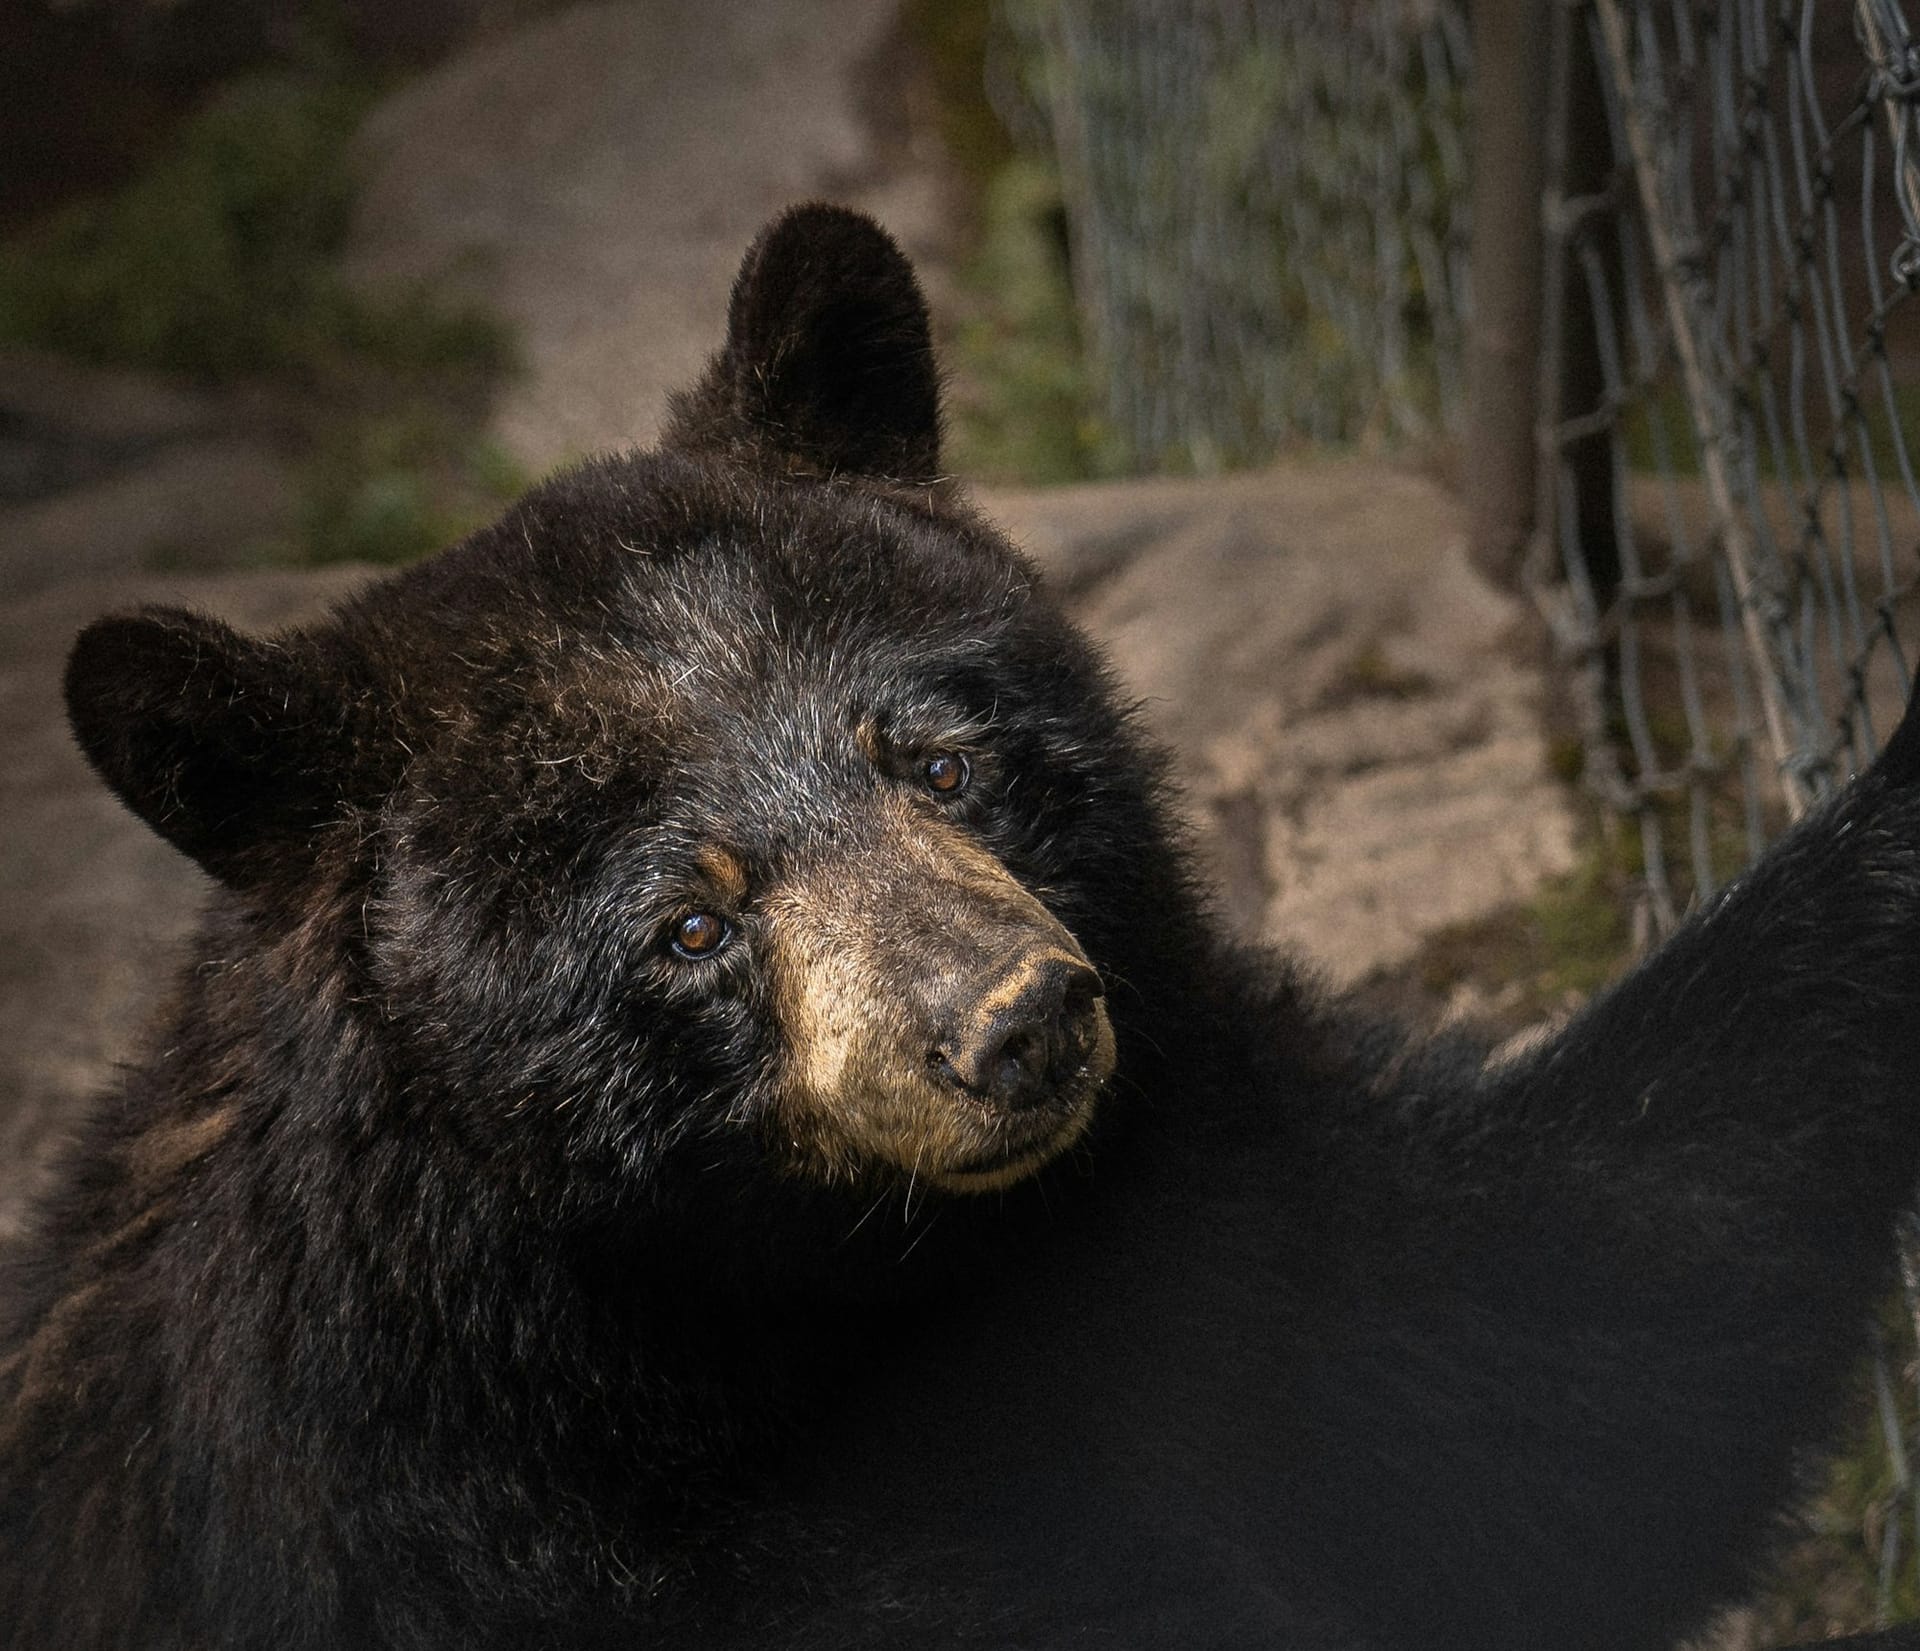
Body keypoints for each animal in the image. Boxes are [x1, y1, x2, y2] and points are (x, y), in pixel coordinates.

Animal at [7, 200, 1920, 1651]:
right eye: (687, 925)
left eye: (939, 755)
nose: (1015, 1022)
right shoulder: (475, 1526)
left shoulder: (1209, 1232)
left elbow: (1556, 1341)